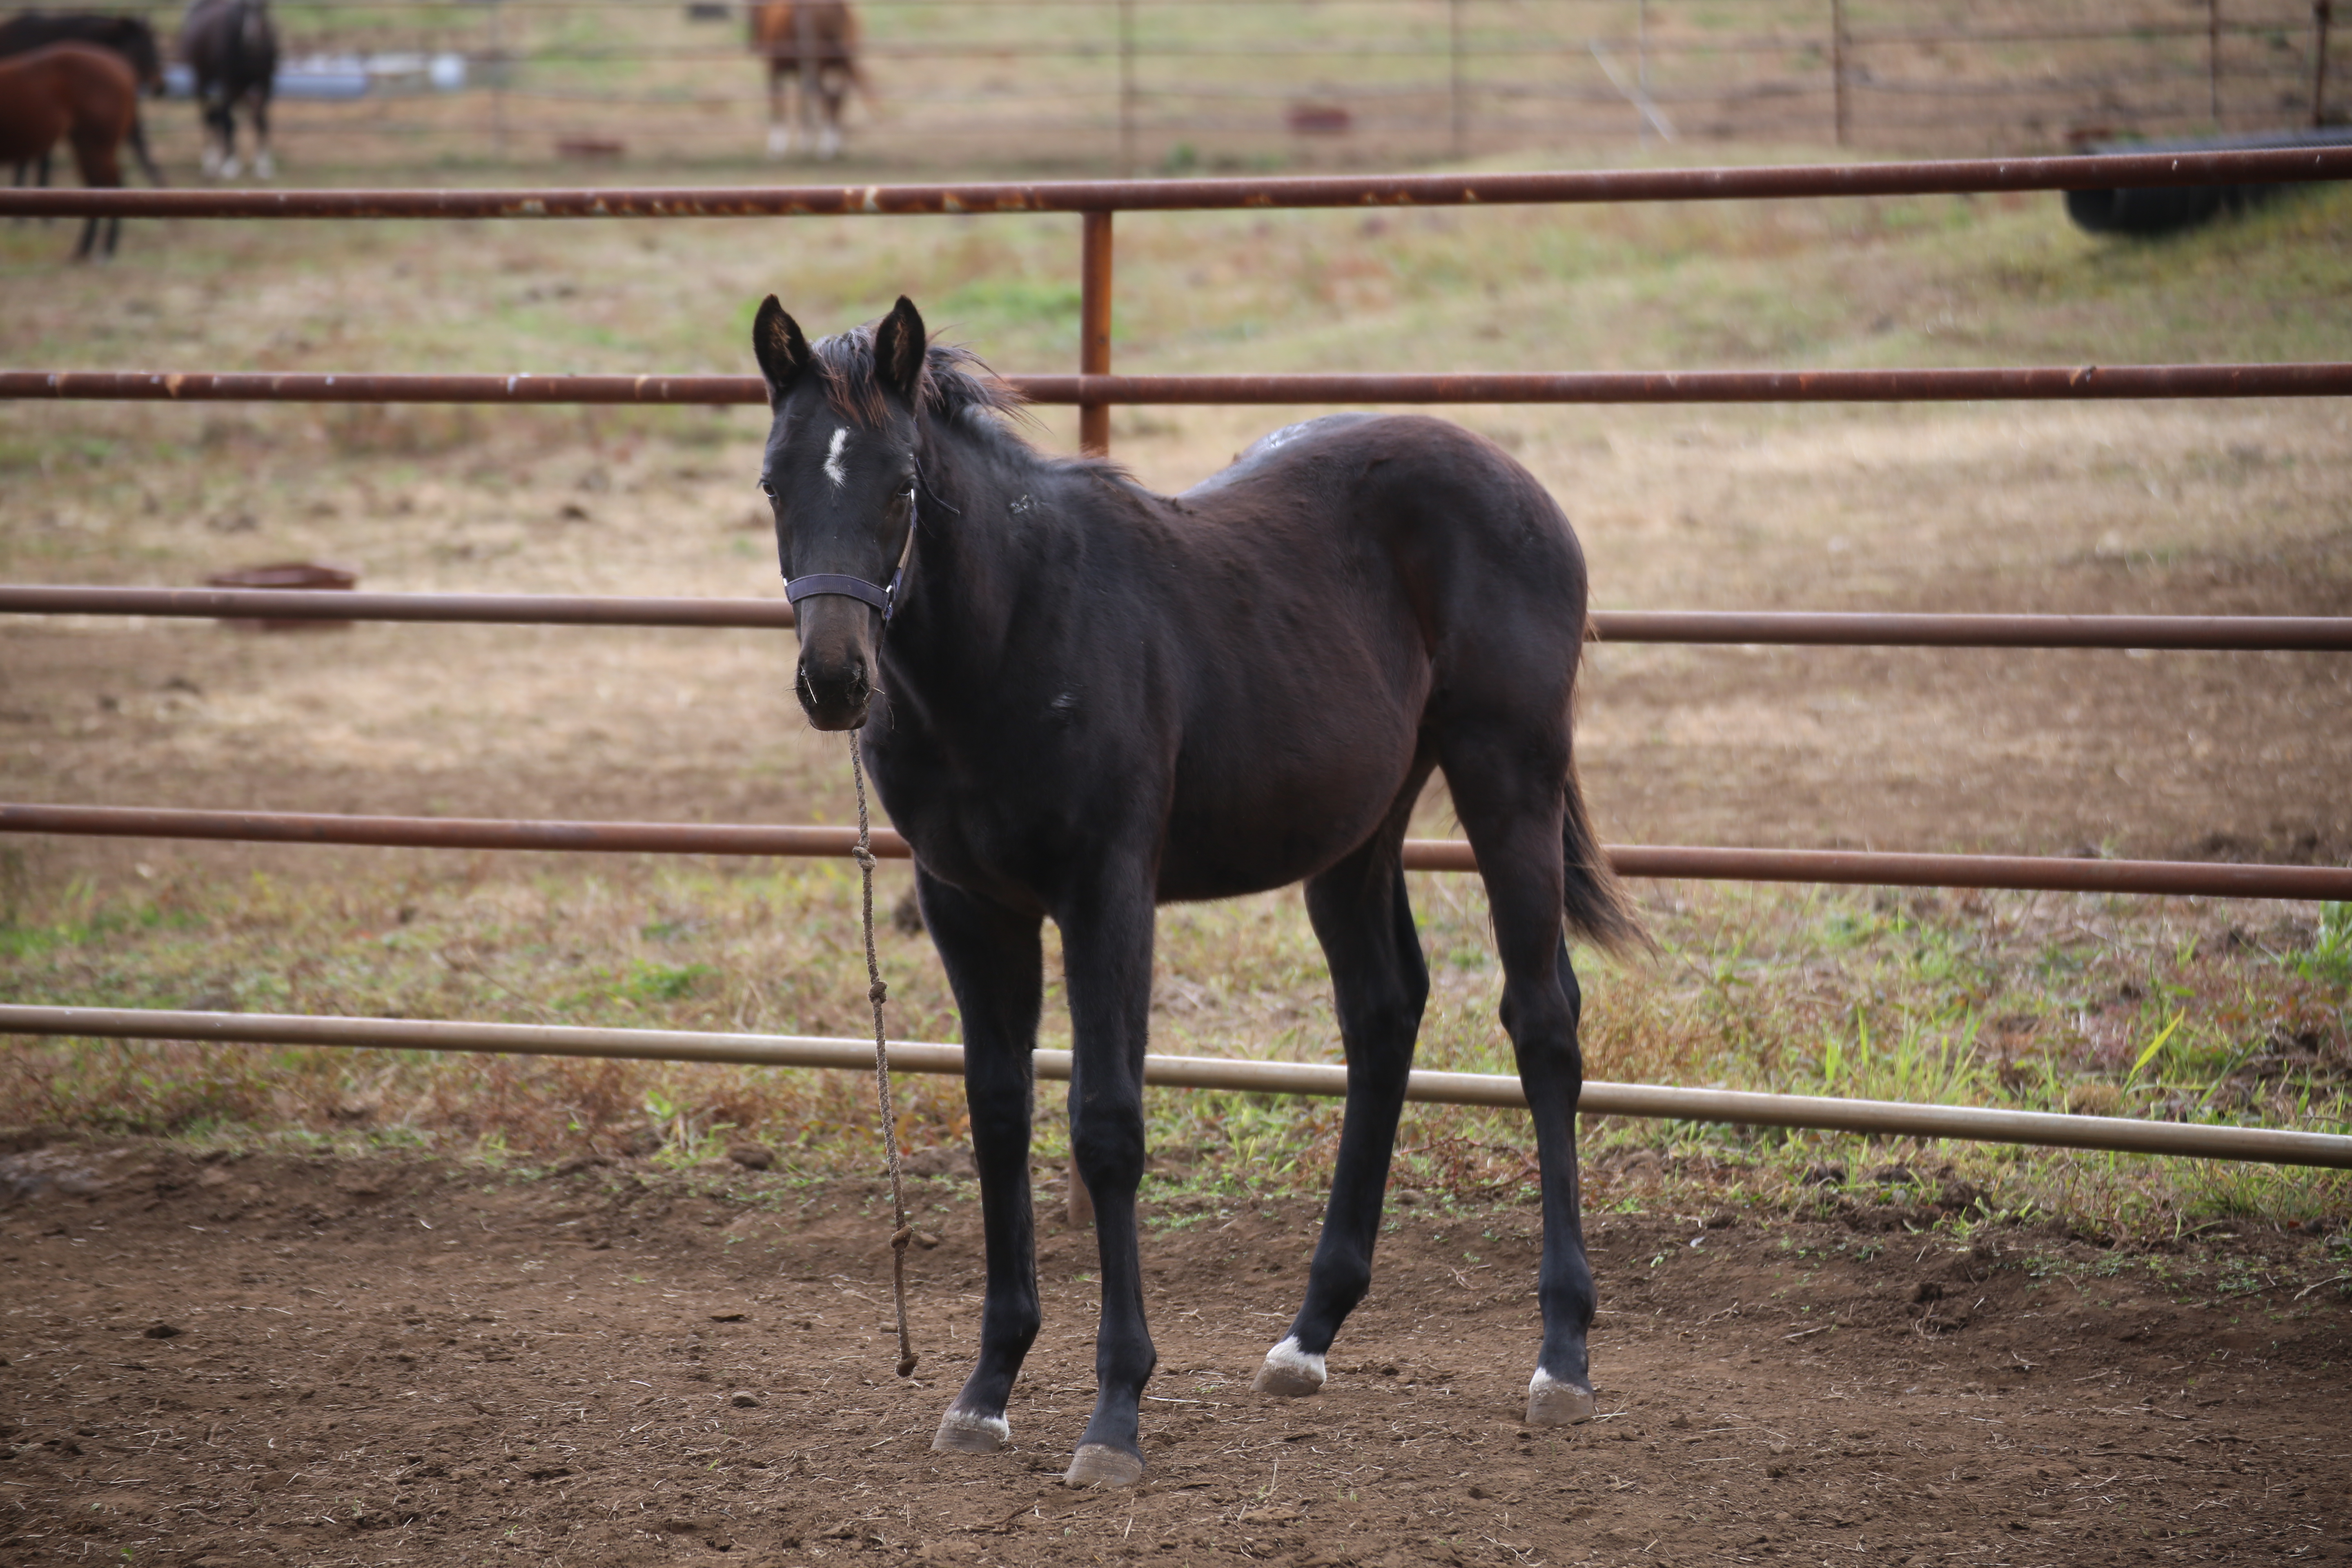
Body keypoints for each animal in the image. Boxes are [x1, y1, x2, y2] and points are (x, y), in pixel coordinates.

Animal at [0, 41, 140, 257]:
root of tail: (122, 67)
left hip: (95, 146)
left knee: (106, 185)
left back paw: (99, 249)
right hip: (88, 145)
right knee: (101, 188)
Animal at [178, 0, 275, 178]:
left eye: (263, 6)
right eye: (243, 7)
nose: (251, 38)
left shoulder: (265, 83)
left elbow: (261, 121)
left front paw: (264, 166)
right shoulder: (228, 83)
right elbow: (229, 121)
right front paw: (231, 164)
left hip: (239, 89)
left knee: (218, 117)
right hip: (204, 80)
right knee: (209, 116)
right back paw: (211, 162)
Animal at [748, 0, 861, 160]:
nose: (754, 47)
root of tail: (838, 8)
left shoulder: (775, 70)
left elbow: (778, 104)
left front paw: (776, 148)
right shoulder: (800, 74)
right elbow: (802, 103)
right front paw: (805, 143)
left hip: (819, 69)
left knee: (827, 100)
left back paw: (826, 149)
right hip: (838, 67)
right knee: (837, 100)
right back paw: (835, 146)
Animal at [762, 301, 1646, 1495]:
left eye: (901, 482)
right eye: (774, 482)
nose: (835, 680)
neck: (1009, 636)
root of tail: (1516, 479)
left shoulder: (1106, 890)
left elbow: (1106, 1123)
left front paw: (1114, 1414)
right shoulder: (969, 907)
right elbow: (999, 1116)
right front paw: (985, 1391)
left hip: (1507, 772)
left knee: (1542, 1022)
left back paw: (1561, 1354)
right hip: (1357, 826)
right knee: (1383, 1012)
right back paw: (1307, 1336)